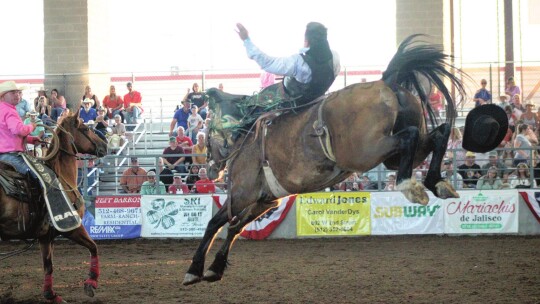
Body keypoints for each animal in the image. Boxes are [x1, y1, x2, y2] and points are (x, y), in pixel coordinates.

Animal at [0, 112, 108, 304]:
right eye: (85, 128)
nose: (105, 146)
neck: (61, 175)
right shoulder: (71, 227)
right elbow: (93, 247)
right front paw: (91, 283)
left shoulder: (45, 236)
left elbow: (48, 266)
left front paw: (51, 295)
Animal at [184, 35, 466, 284]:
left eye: (206, 130)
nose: (211, 170)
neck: (246, 136)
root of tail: (386, 82)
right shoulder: (265, 201)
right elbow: (235, 228)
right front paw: (215, 268)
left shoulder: (242, 194)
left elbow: (215, 223)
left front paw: (194, 270)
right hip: (395, 156)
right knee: (438, 134)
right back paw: (437, 183)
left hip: (368, 151)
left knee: (409, 136)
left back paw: (410, 185)